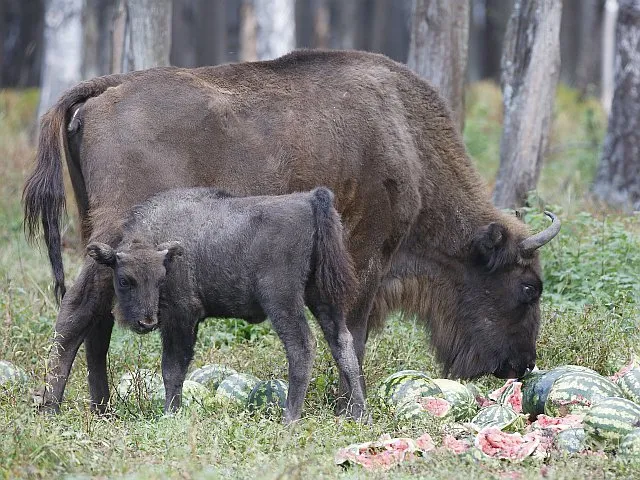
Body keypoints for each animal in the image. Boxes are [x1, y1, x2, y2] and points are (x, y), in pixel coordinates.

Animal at [88, 186, 364, 422]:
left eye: (160, 278)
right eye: (124, 279)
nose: (146, 322)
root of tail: (309, 199)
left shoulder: (181, 317)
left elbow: (172, 369)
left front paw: (169, 413)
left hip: (282, 299)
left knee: (302, 346)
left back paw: (290, 418)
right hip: (321, 297)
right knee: (342, 343)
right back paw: (360, 414)